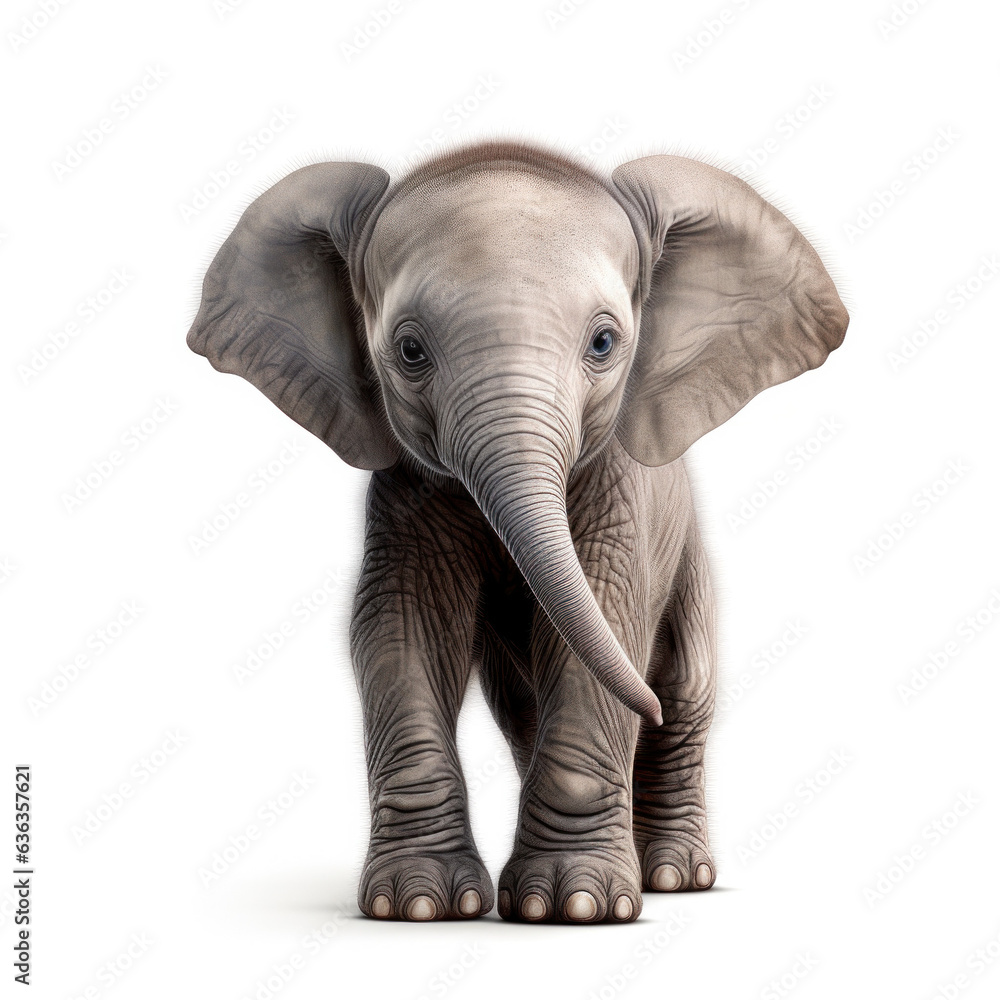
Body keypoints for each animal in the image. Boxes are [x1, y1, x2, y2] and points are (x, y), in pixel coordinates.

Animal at [187, 140, 848, 924]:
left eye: (604, 342)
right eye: (409, 352)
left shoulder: (618, 491)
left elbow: (609, 615)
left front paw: (575, 907)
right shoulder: (407, 491)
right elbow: (398, 627)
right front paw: (421, 905)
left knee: (684, 692)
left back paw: (671, 875)